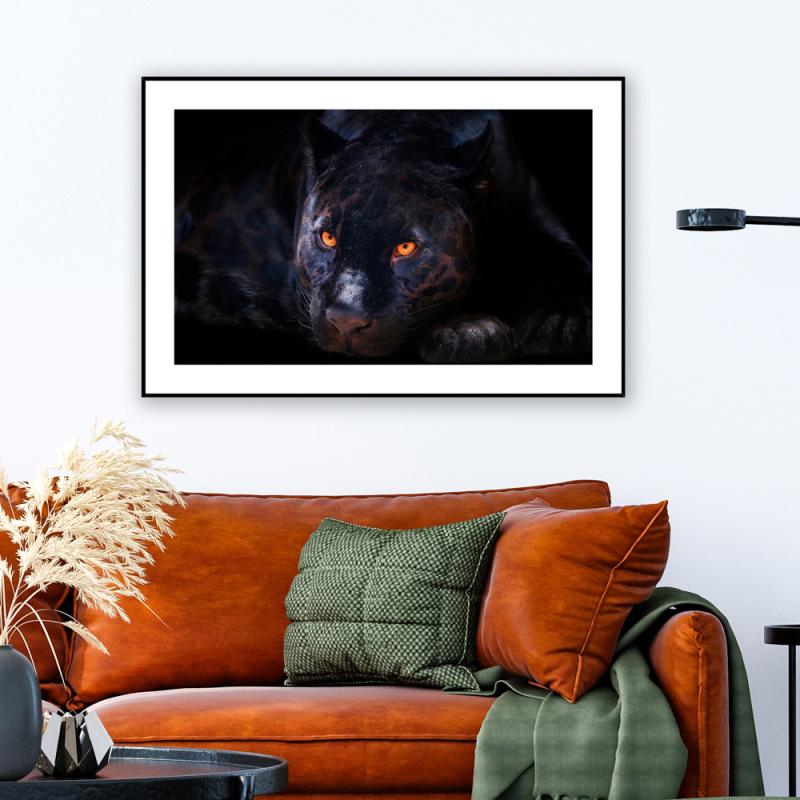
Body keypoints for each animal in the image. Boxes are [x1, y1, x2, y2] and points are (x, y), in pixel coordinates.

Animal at [175, 110, 591, 364]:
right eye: (328, 237)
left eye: (405, 248)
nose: (346, 320)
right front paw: (471, 330)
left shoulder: (541, 219)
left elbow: (573, 265)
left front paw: (561, 323)